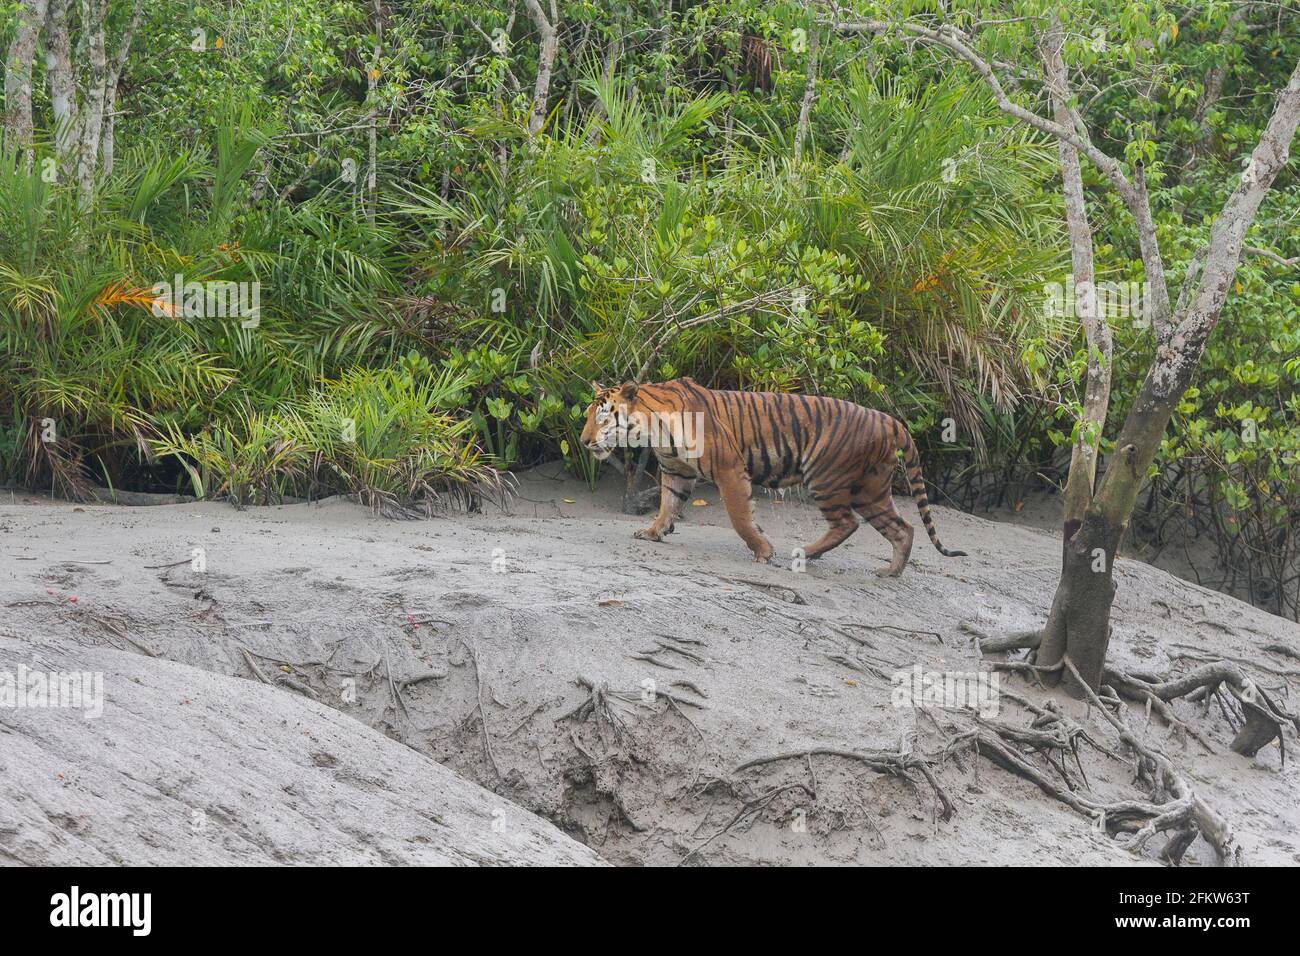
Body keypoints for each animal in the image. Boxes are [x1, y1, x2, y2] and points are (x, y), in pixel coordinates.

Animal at [579, 379, 967, 574]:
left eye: (602, 417)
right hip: (870, 489)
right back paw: (889, 572)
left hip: (827, 478)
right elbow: (666, 506)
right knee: (904, 528)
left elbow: (740, 518)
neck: (652, 427)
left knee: (848, 523)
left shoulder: (729, 469)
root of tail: (890, 420)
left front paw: (763, 551)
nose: (582, 441)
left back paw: (805, 553)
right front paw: (652, 532)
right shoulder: (676, 471)